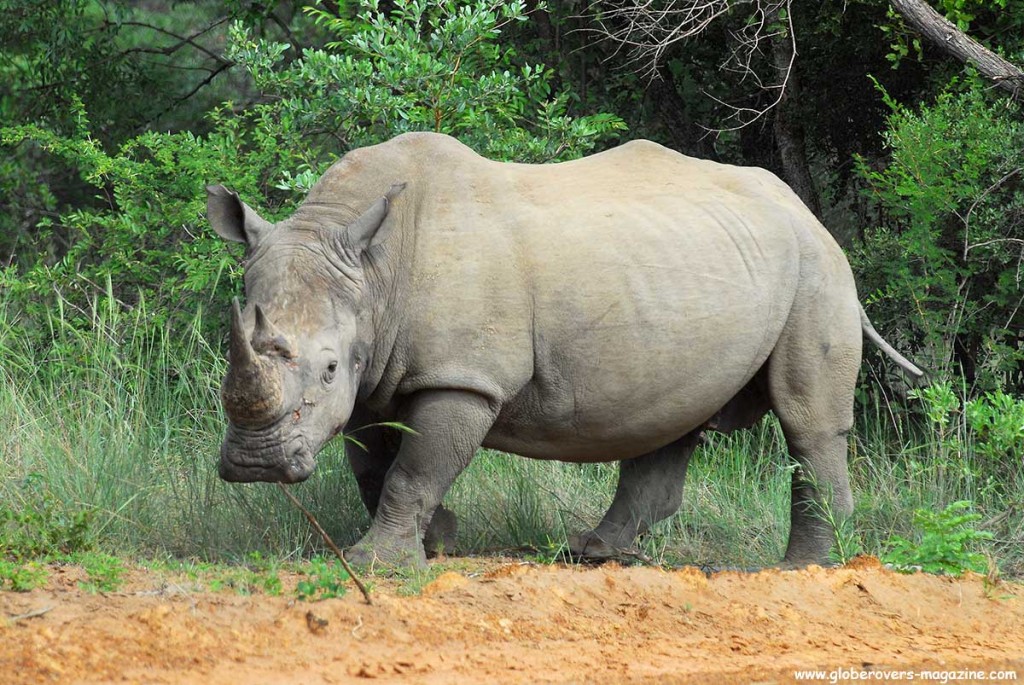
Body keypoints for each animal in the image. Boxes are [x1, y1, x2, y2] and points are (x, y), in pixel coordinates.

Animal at [207, 132, 921, 565]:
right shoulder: (376, 375)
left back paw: (807, 567)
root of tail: (805, 211)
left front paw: (376, 563)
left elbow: (413, 469)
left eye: (328, 368)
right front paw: (437, 540)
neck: (371, 270)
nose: (254, 465)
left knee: (807, 421)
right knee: (670, 412)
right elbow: (374, 469)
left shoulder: (462, 376)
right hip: (702, 266)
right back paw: (596, 552)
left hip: (816, 271)